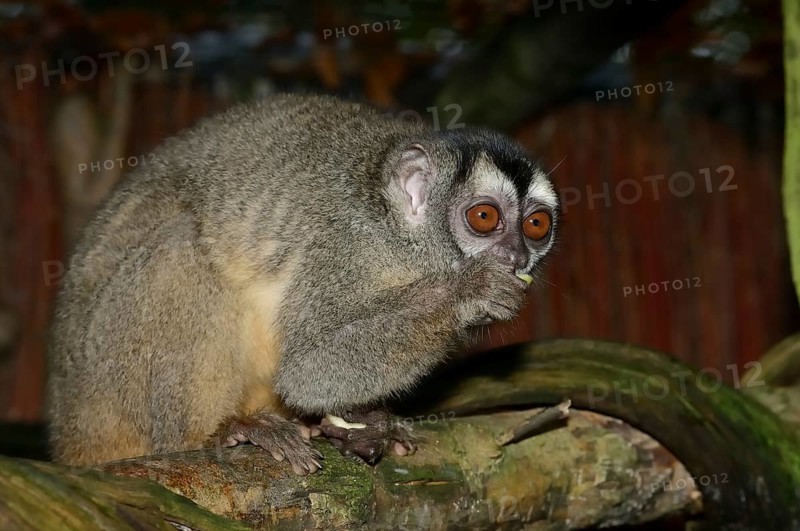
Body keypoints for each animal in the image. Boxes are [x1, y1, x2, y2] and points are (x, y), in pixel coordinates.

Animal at [46, 94, 559, 475]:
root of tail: (69, 422)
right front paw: (469, 292)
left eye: (536, 226)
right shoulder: (346, 248)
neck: (400, 237)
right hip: (106, 377)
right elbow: (307, 371)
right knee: (180, 247)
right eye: (484, 217)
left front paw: (363, 424)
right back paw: (217, 434)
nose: (516, 257)